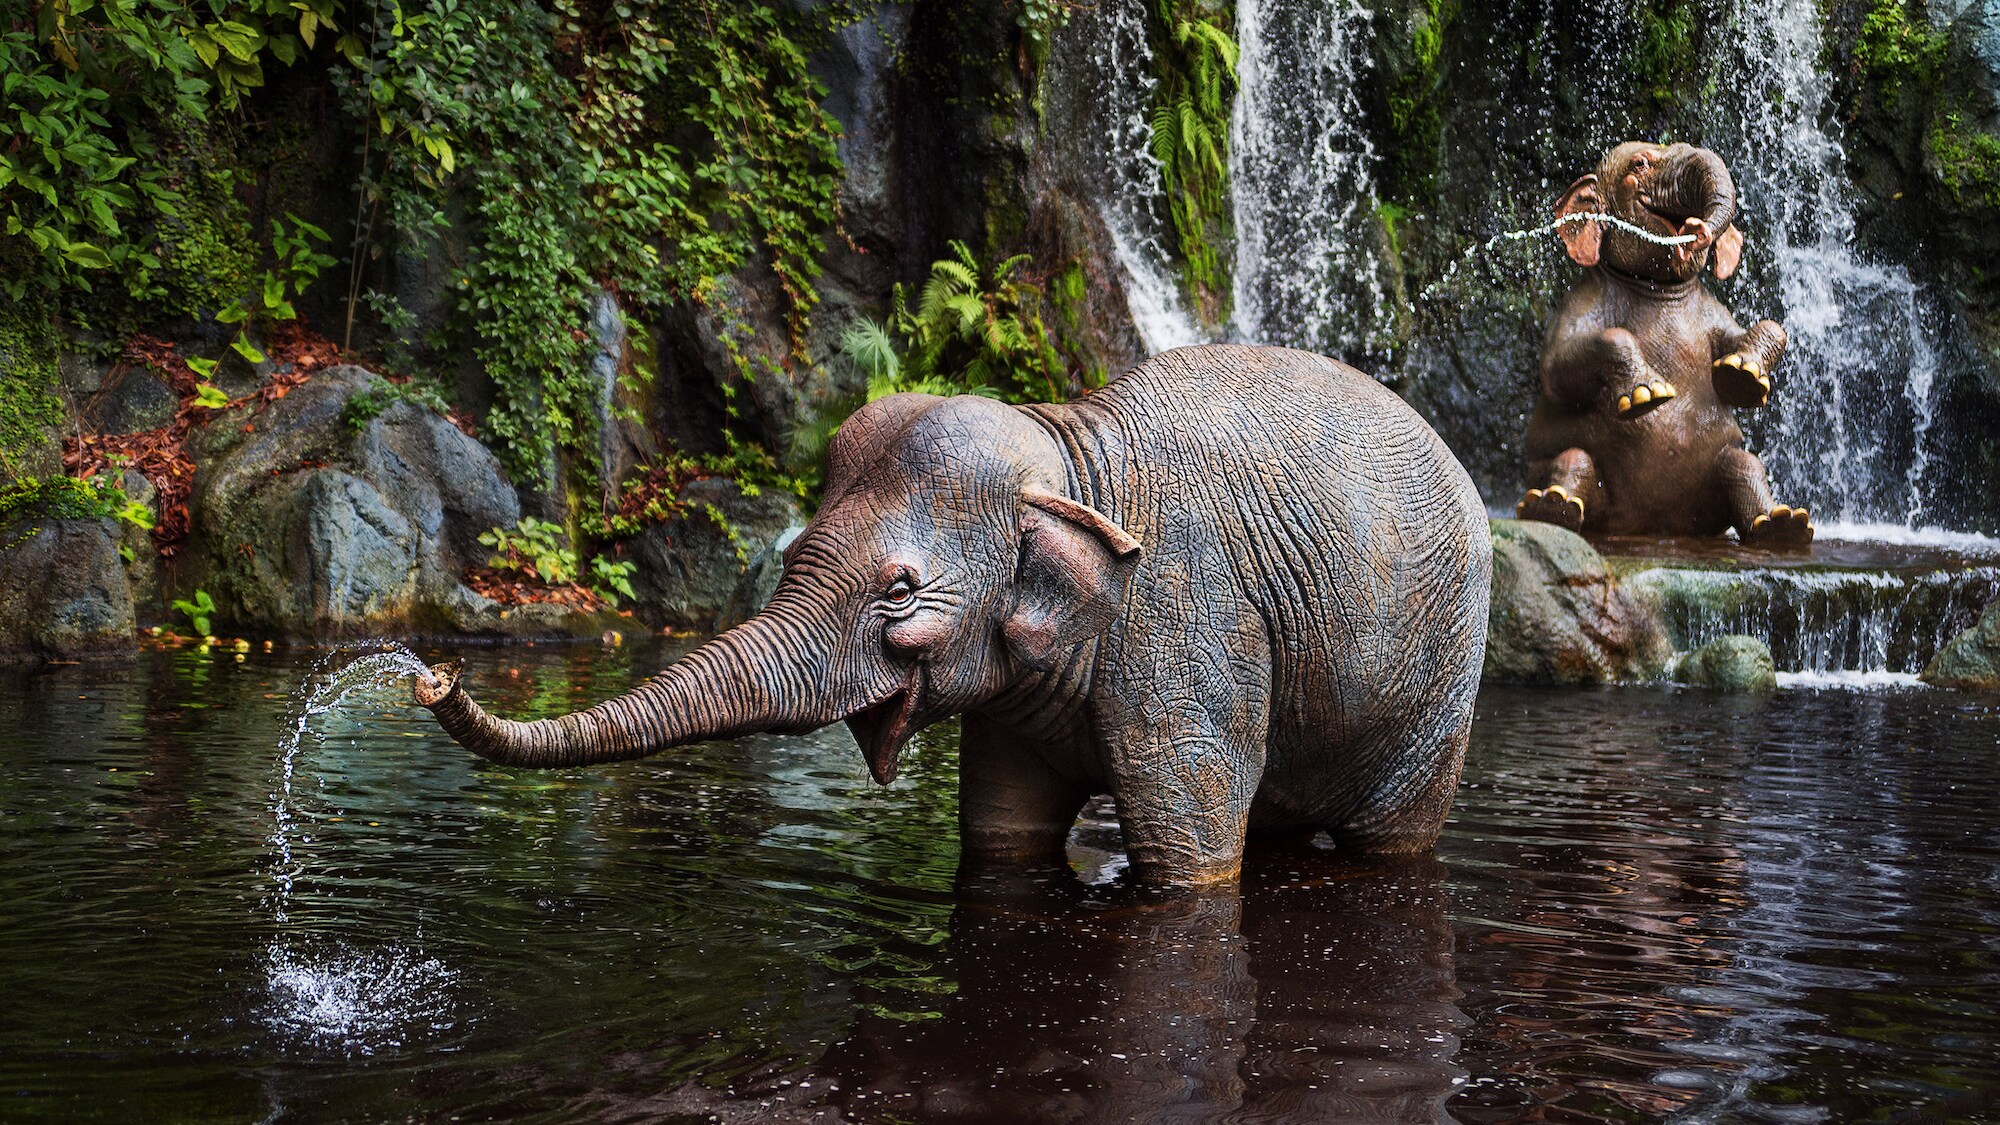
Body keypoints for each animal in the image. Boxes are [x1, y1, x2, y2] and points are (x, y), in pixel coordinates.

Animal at [414, 344, 1496, 884]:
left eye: (897, 590)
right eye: (793, 556)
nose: (430, 674)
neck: (1068, 448)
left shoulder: (1187, 615)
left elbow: (1188, 867)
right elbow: (1002, 832)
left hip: (1442, 684)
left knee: (1393, 834)